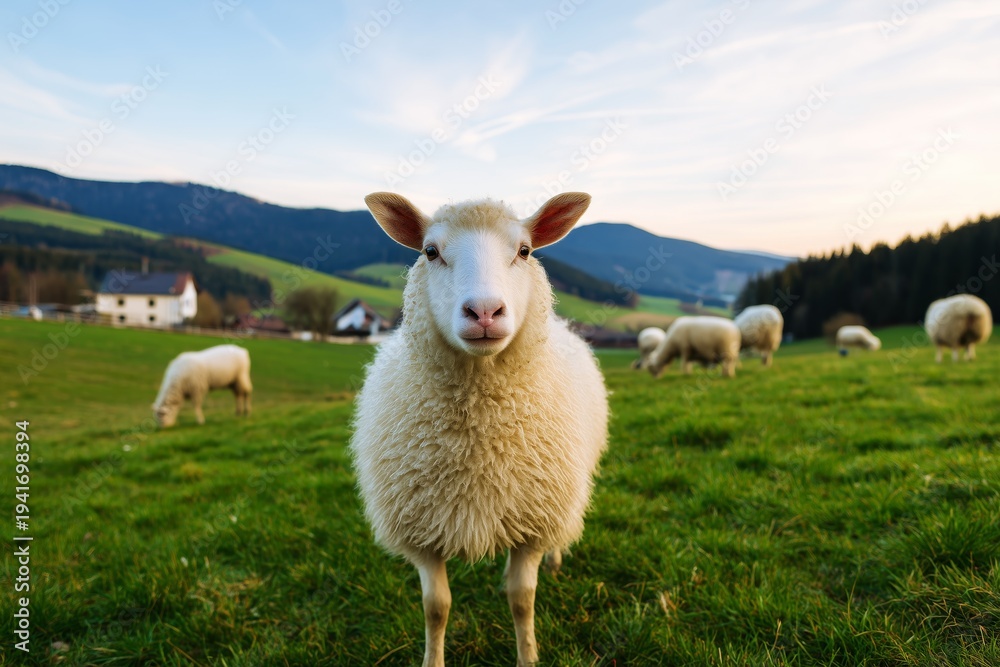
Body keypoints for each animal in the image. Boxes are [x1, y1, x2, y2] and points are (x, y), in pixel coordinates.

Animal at [351, 192, 609, 667]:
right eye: (430, 252)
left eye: (524, 250)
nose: (485, 311)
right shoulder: (422, 534)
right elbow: (436, 608)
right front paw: (433, 660)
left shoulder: (533, 524)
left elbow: (521, 600)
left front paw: (528, 657)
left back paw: (557, 558)